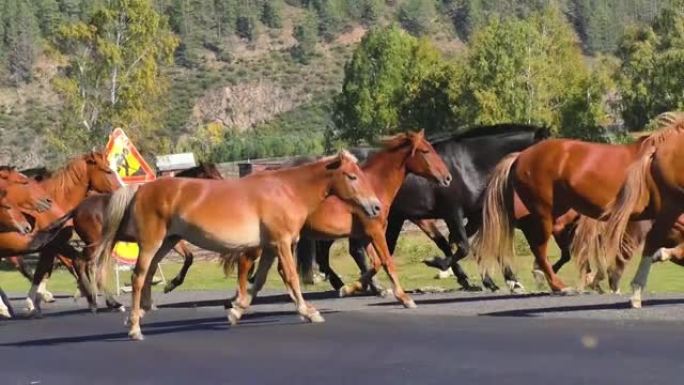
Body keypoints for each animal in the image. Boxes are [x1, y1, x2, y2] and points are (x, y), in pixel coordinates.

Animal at [91, 150, 382, 340]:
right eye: (351, 176)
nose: (376, 207)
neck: (286, 190)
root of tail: (141, 189)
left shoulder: (270, 247)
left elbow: (259, 281)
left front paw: (236, 311)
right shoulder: (282, 243)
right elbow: (290, 277)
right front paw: (309, 312)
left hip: (167, 242)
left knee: (149, 273)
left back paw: (140, 314)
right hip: (152, 242)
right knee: (139, 277)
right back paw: (135, 328)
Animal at [238, 130, 452, 310]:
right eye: (425, 151)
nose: (447, 178)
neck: (374, 185)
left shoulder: (367, 234)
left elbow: (375, 263)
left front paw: (351, 288)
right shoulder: (375, 231)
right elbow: (386, 262)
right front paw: (404, 298)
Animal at [296, 123, 552, 292]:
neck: (469, 164)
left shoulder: (475, 214)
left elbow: (465, 243)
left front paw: (495, 280)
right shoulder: (454, 212)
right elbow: (463, 246)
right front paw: (438, 263)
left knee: (334, 249)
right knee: (349, 249)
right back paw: (366, 285)